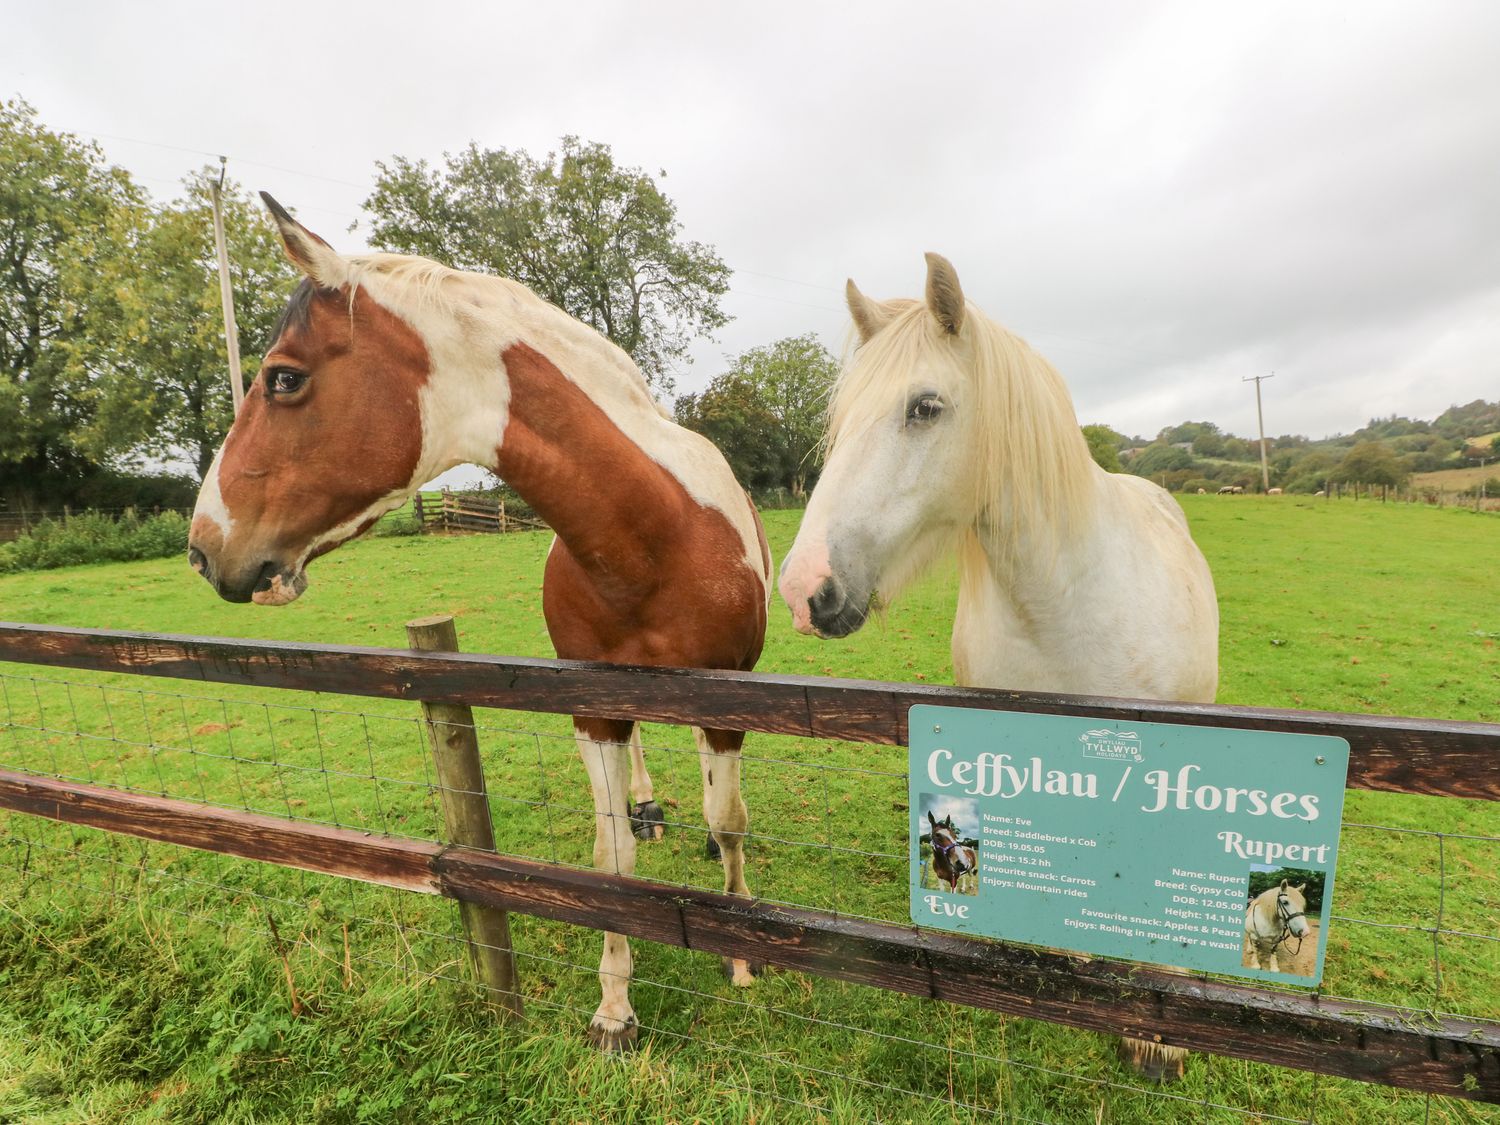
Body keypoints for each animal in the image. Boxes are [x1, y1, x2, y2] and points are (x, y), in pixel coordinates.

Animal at [190, 196, 774, 1056]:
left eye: (284, 377)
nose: (204, 546)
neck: (658, 534)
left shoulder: (729, 701)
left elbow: (729, 821)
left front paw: (741, 955)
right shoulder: (594, 709)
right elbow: (609, 854)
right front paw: (614, 1007)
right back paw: (649, 807)